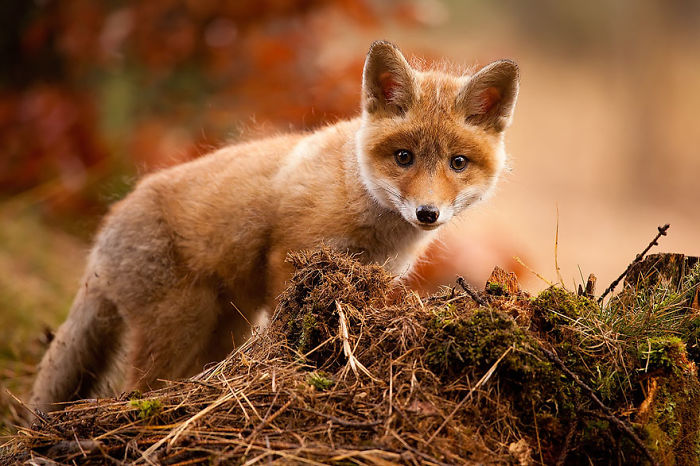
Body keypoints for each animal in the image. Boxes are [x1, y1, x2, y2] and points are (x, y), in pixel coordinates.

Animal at [30, 41, 519, 413]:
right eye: (404, 157)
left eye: (458, 163)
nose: (427, 213)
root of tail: (102, 237)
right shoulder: (290, 255)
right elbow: (291, 321)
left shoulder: (376, 277)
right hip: (180, 324)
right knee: (139, 389)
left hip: (225, 328)